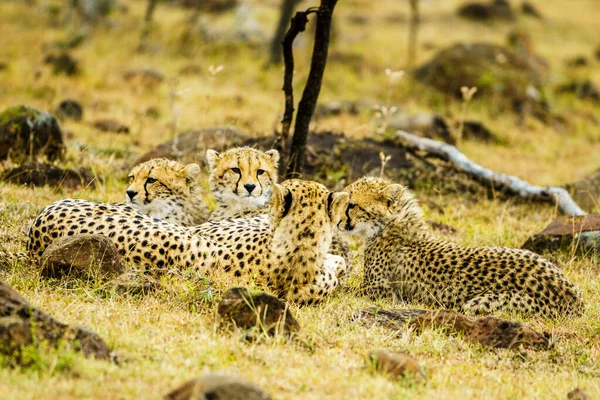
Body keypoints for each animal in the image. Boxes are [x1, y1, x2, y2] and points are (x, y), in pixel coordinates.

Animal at [328, 177, 584, 318]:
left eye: (352, 205)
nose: (338, 222)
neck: (392, 223)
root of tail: (573, 297)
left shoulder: (380, 292)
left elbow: (345, 289)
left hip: (479, 303)